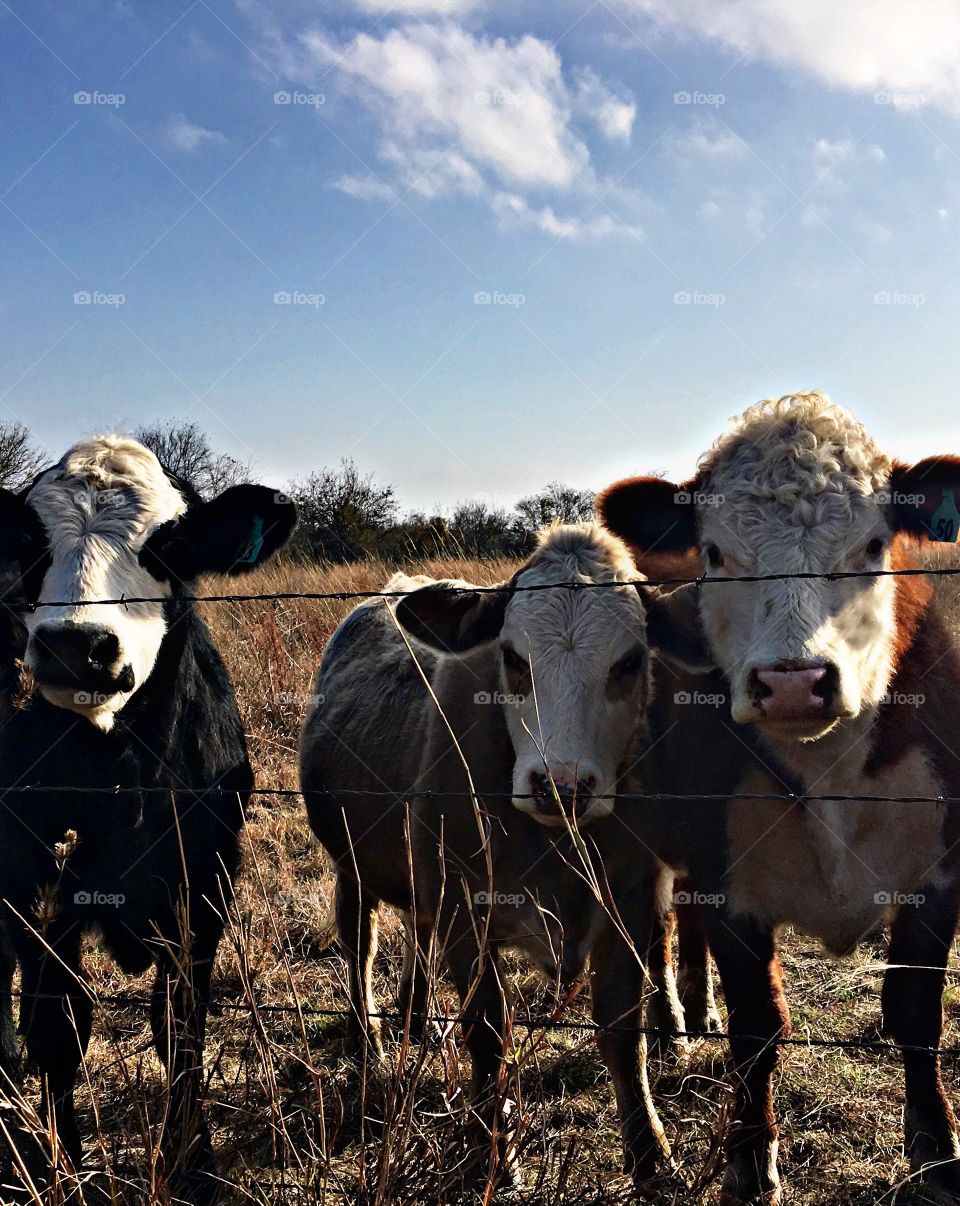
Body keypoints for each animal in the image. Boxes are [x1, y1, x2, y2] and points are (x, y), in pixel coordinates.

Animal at [0, 435, 295, 1203]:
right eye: (31, 542)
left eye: (170, 545)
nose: (76, 645)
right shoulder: (35, 886)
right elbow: (57, 1023)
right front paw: (62, 1166)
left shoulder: (206, 885)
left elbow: (179, 1022)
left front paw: (194, 1164)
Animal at [299, 524, 716, 1190]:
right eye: (514, 659)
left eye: (630, 662)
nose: (560, 784)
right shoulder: (465, 910)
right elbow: (488, 1032)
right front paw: (493, 1154)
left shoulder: (627, 903)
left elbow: (624, 1029)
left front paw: (652, 1155)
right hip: (351, 868)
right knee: (358, 947)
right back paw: (372, 1047)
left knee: (414, 930)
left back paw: (415, 1013)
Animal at [598, 390, 960, 1204]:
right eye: (713, 554)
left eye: (873, 544)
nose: (794, 682)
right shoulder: (732, 884)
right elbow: (758, 1028)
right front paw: (749, 1157)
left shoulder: (940, 875)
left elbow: (916, 1014)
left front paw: (936, 1147)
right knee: (656, 938)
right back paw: (671, 1023)